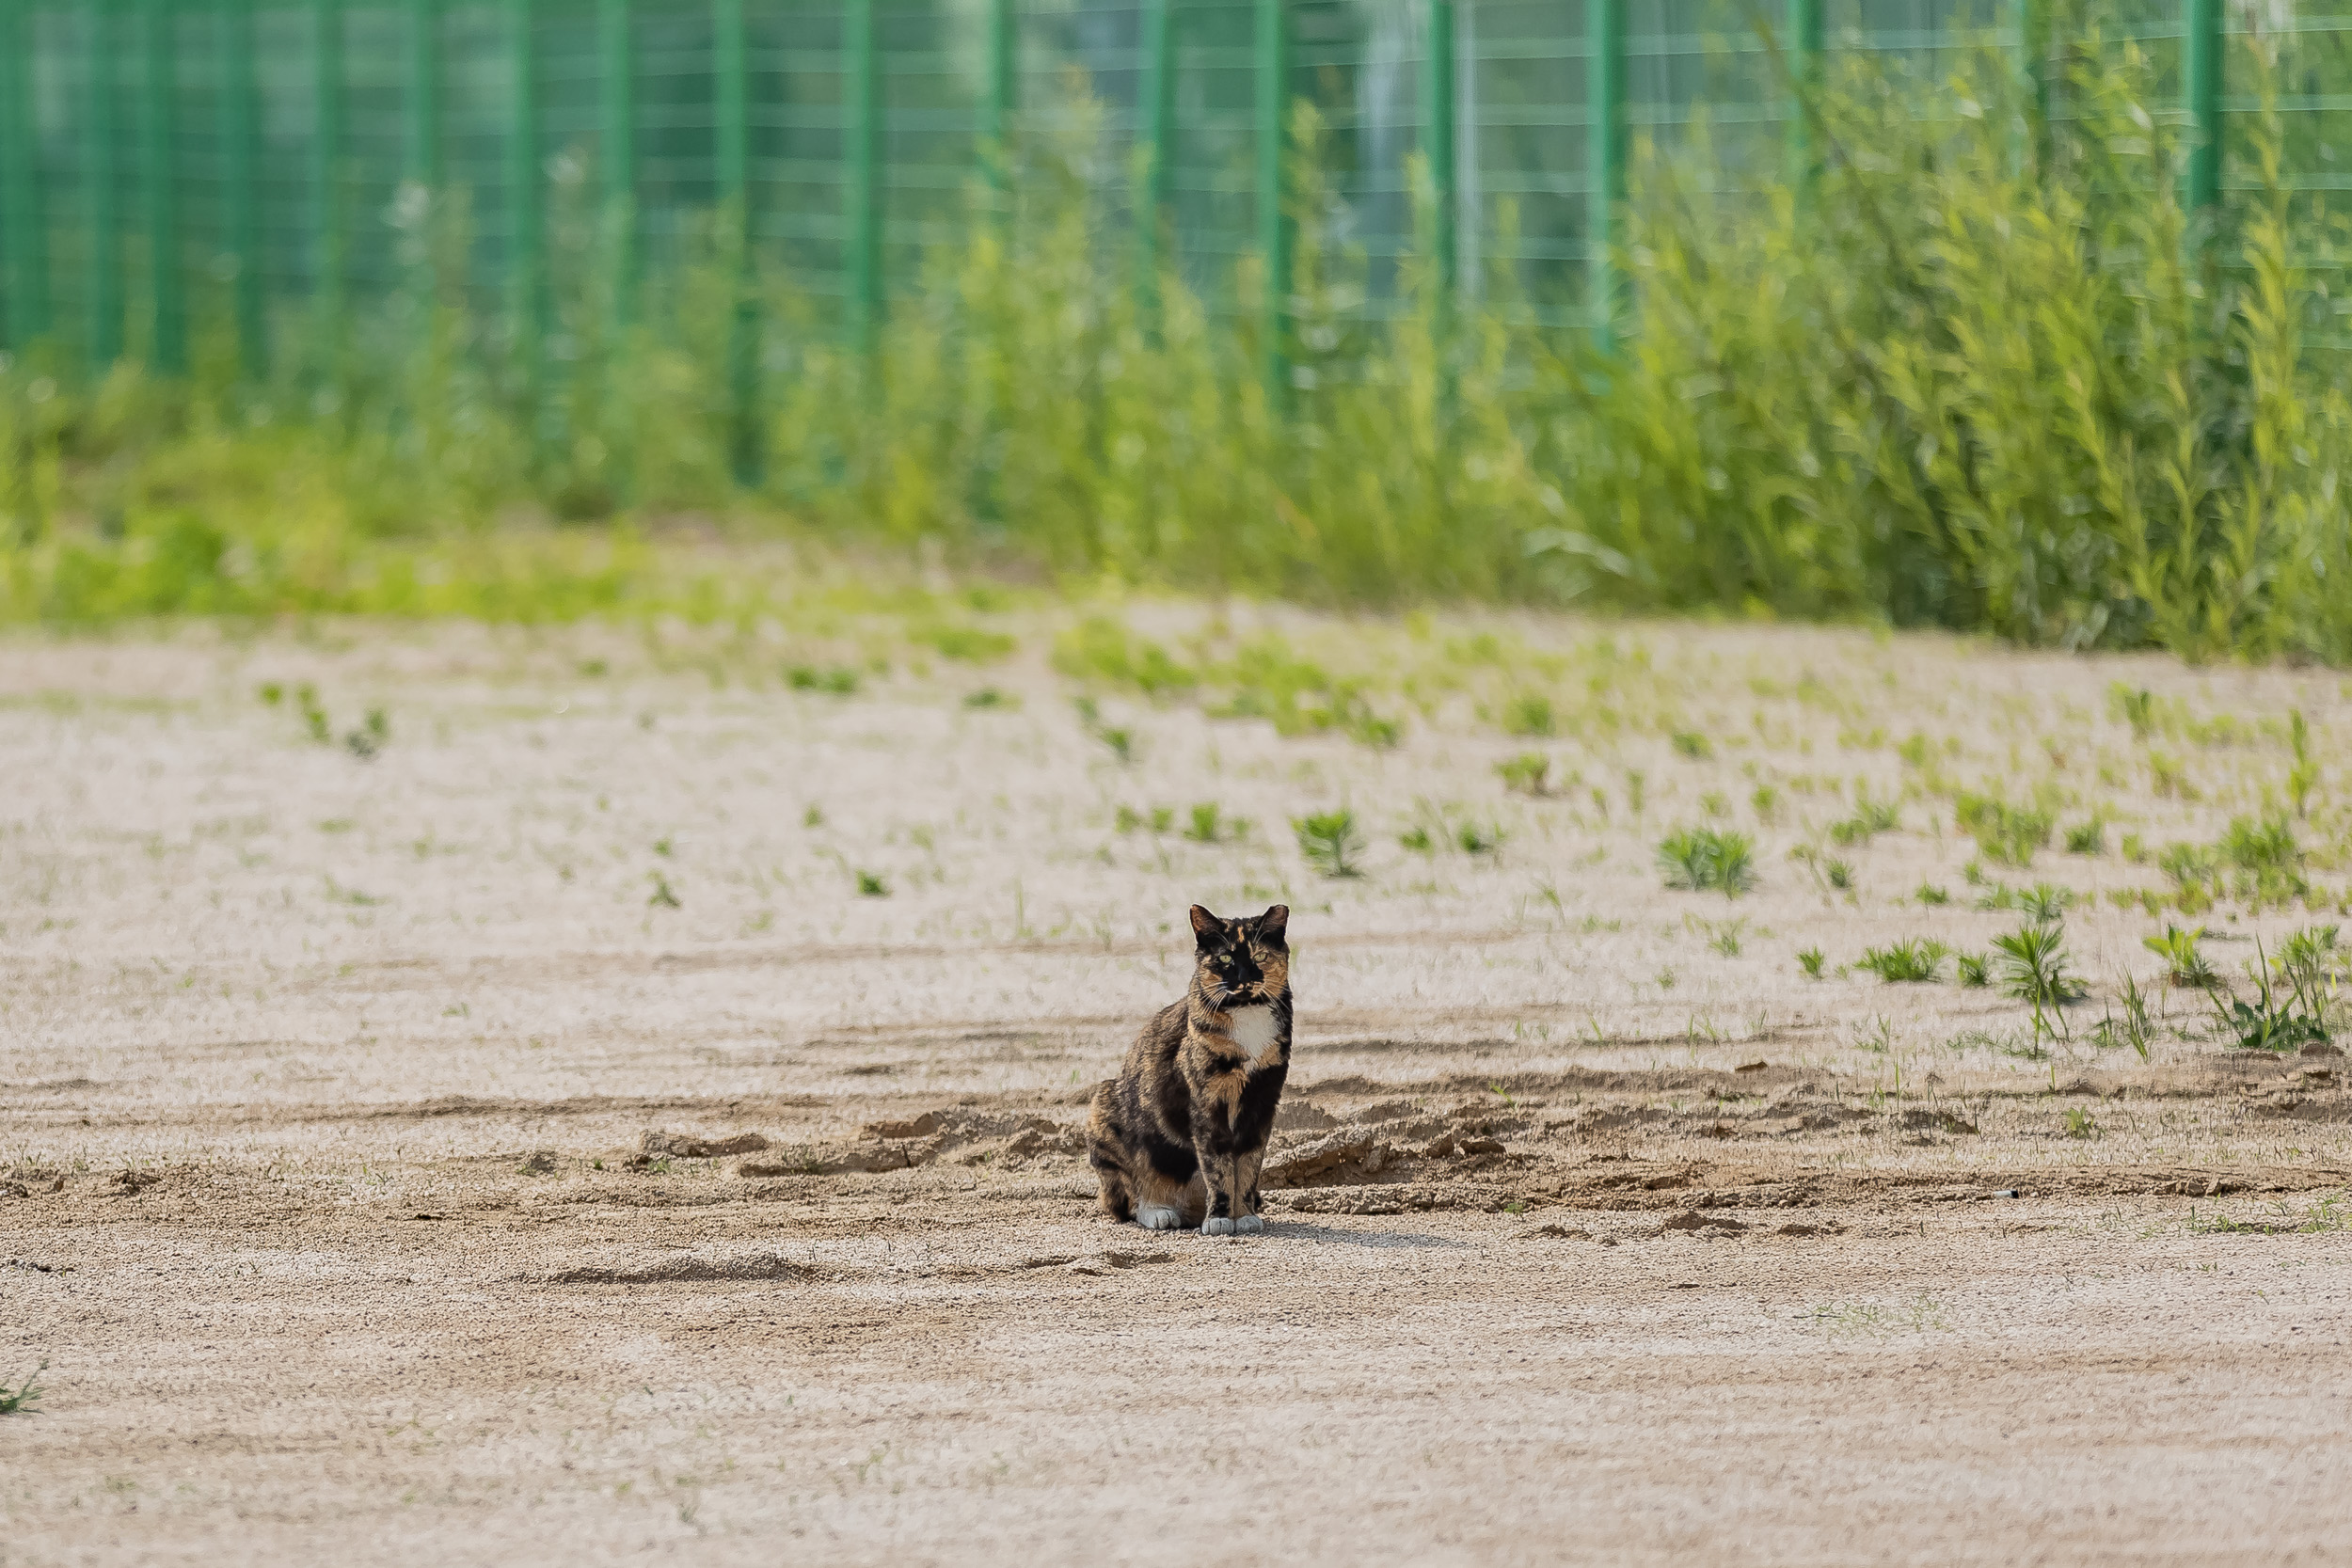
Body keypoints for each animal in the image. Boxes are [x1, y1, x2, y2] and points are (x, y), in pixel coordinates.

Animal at [1091, 907, 1298, 1241]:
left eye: (1260, 956)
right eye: (1225, 958)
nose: (1244, 978)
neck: (1247, 1016)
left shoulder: (1263, 1101)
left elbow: (1249, 1165)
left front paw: (1244, 1215)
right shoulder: (1207, 1102)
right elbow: (1218, 1167)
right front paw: (1220, 1219)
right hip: (1105, 1107)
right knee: (1130, 1198)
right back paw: (1160, 1212)